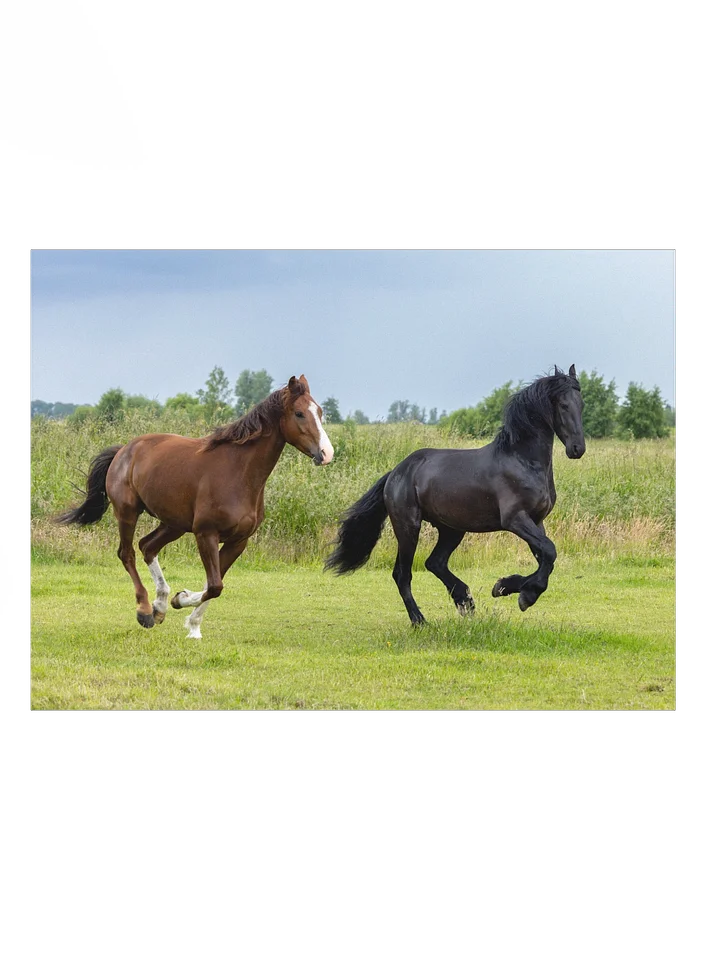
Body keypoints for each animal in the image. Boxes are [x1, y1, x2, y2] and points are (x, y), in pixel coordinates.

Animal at [56, 375, 334, 639]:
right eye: (299, 413)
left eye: (320, 412)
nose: (326, 453)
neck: (238, 473)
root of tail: (124, 449)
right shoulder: (206, 534)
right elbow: (215, 585)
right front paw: (181, 601)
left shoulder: (238, 541)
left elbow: (215, 584)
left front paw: (191, 623)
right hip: (127, 513)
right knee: (127, 554)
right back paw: (145, 611)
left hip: (174, 524)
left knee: (147, 547)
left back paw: (160, 606)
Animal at [325, 365, 585, 626]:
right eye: (563, 405)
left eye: (581, 403)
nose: (577, 449)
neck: (522, 461)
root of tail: (397, 472)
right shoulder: (515, 519)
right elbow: (549, 551)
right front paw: (523, 595)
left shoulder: (536, 521)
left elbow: (546, 558)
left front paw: (506, 587)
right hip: (408, 527)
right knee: (402, 573)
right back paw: (420, 620)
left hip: (452, 529)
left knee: (435, 562)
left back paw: (465, 600)